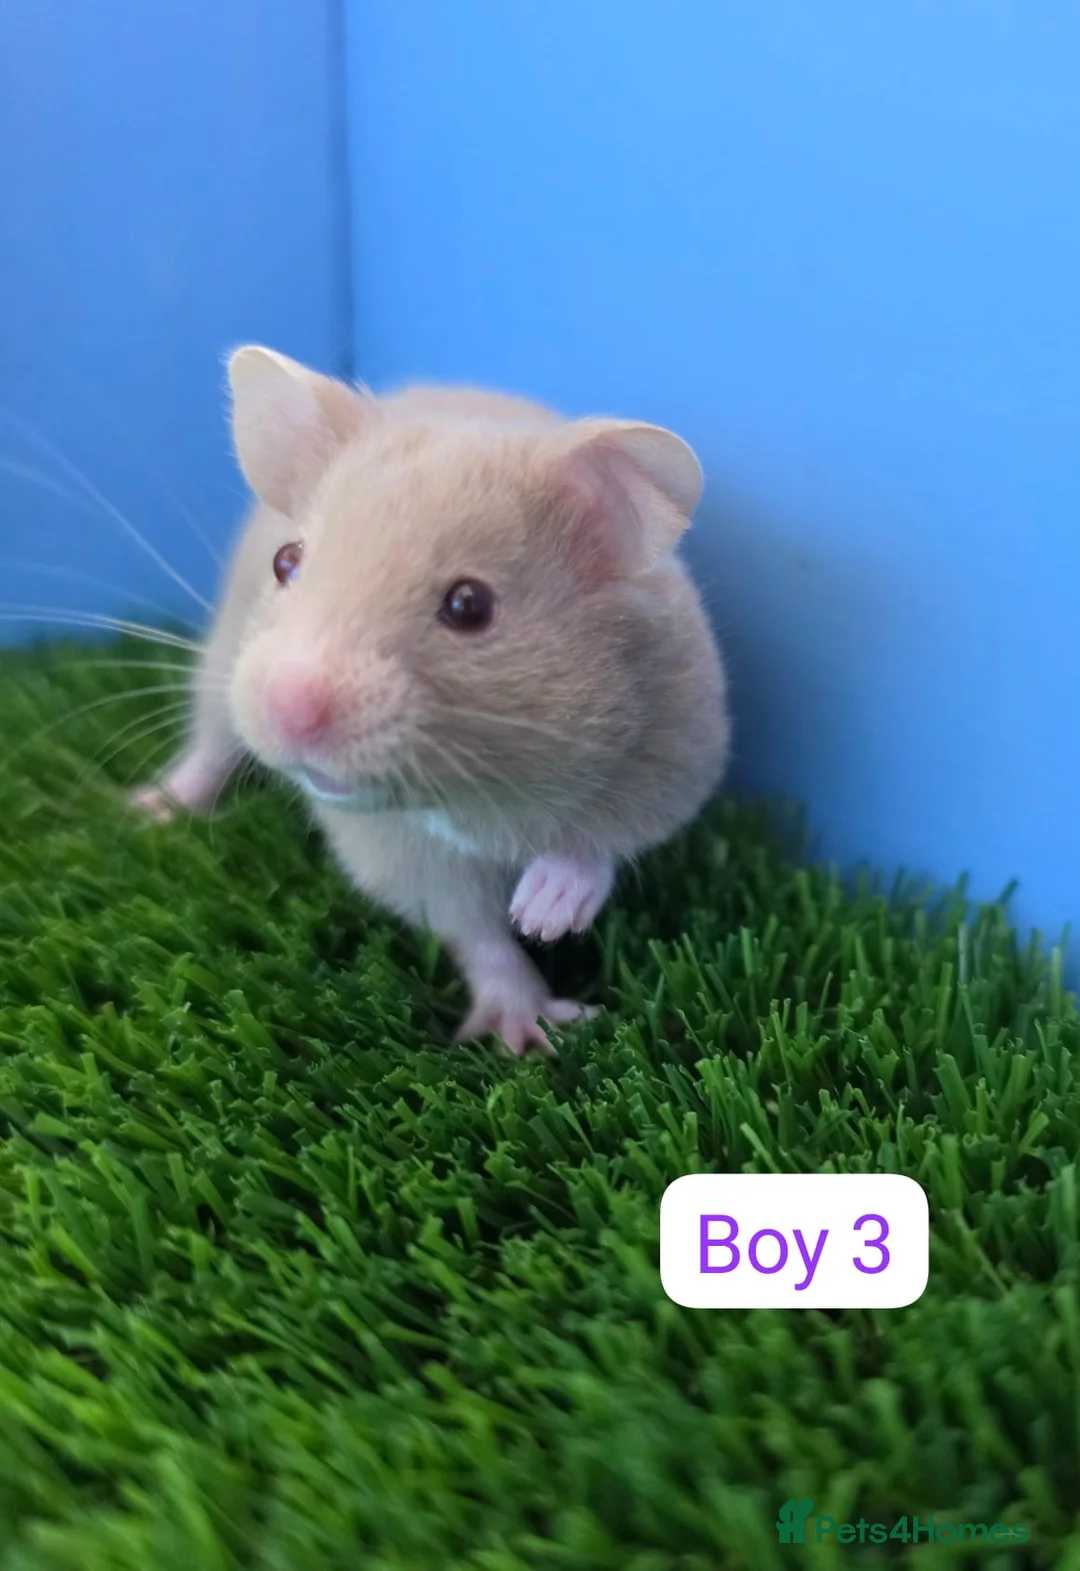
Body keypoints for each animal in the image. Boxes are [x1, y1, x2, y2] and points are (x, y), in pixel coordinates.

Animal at [134, 347, 731, 1056]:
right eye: (286, 562)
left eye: (470, 605)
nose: (289, 709)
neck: (486, 791)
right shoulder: (403, 858)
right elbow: (475, 933)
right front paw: (524, 1034)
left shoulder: (674, 755)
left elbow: (600, 841)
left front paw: (542, 915)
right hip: (223, 666)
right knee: (209, 747)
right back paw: (148, 810)